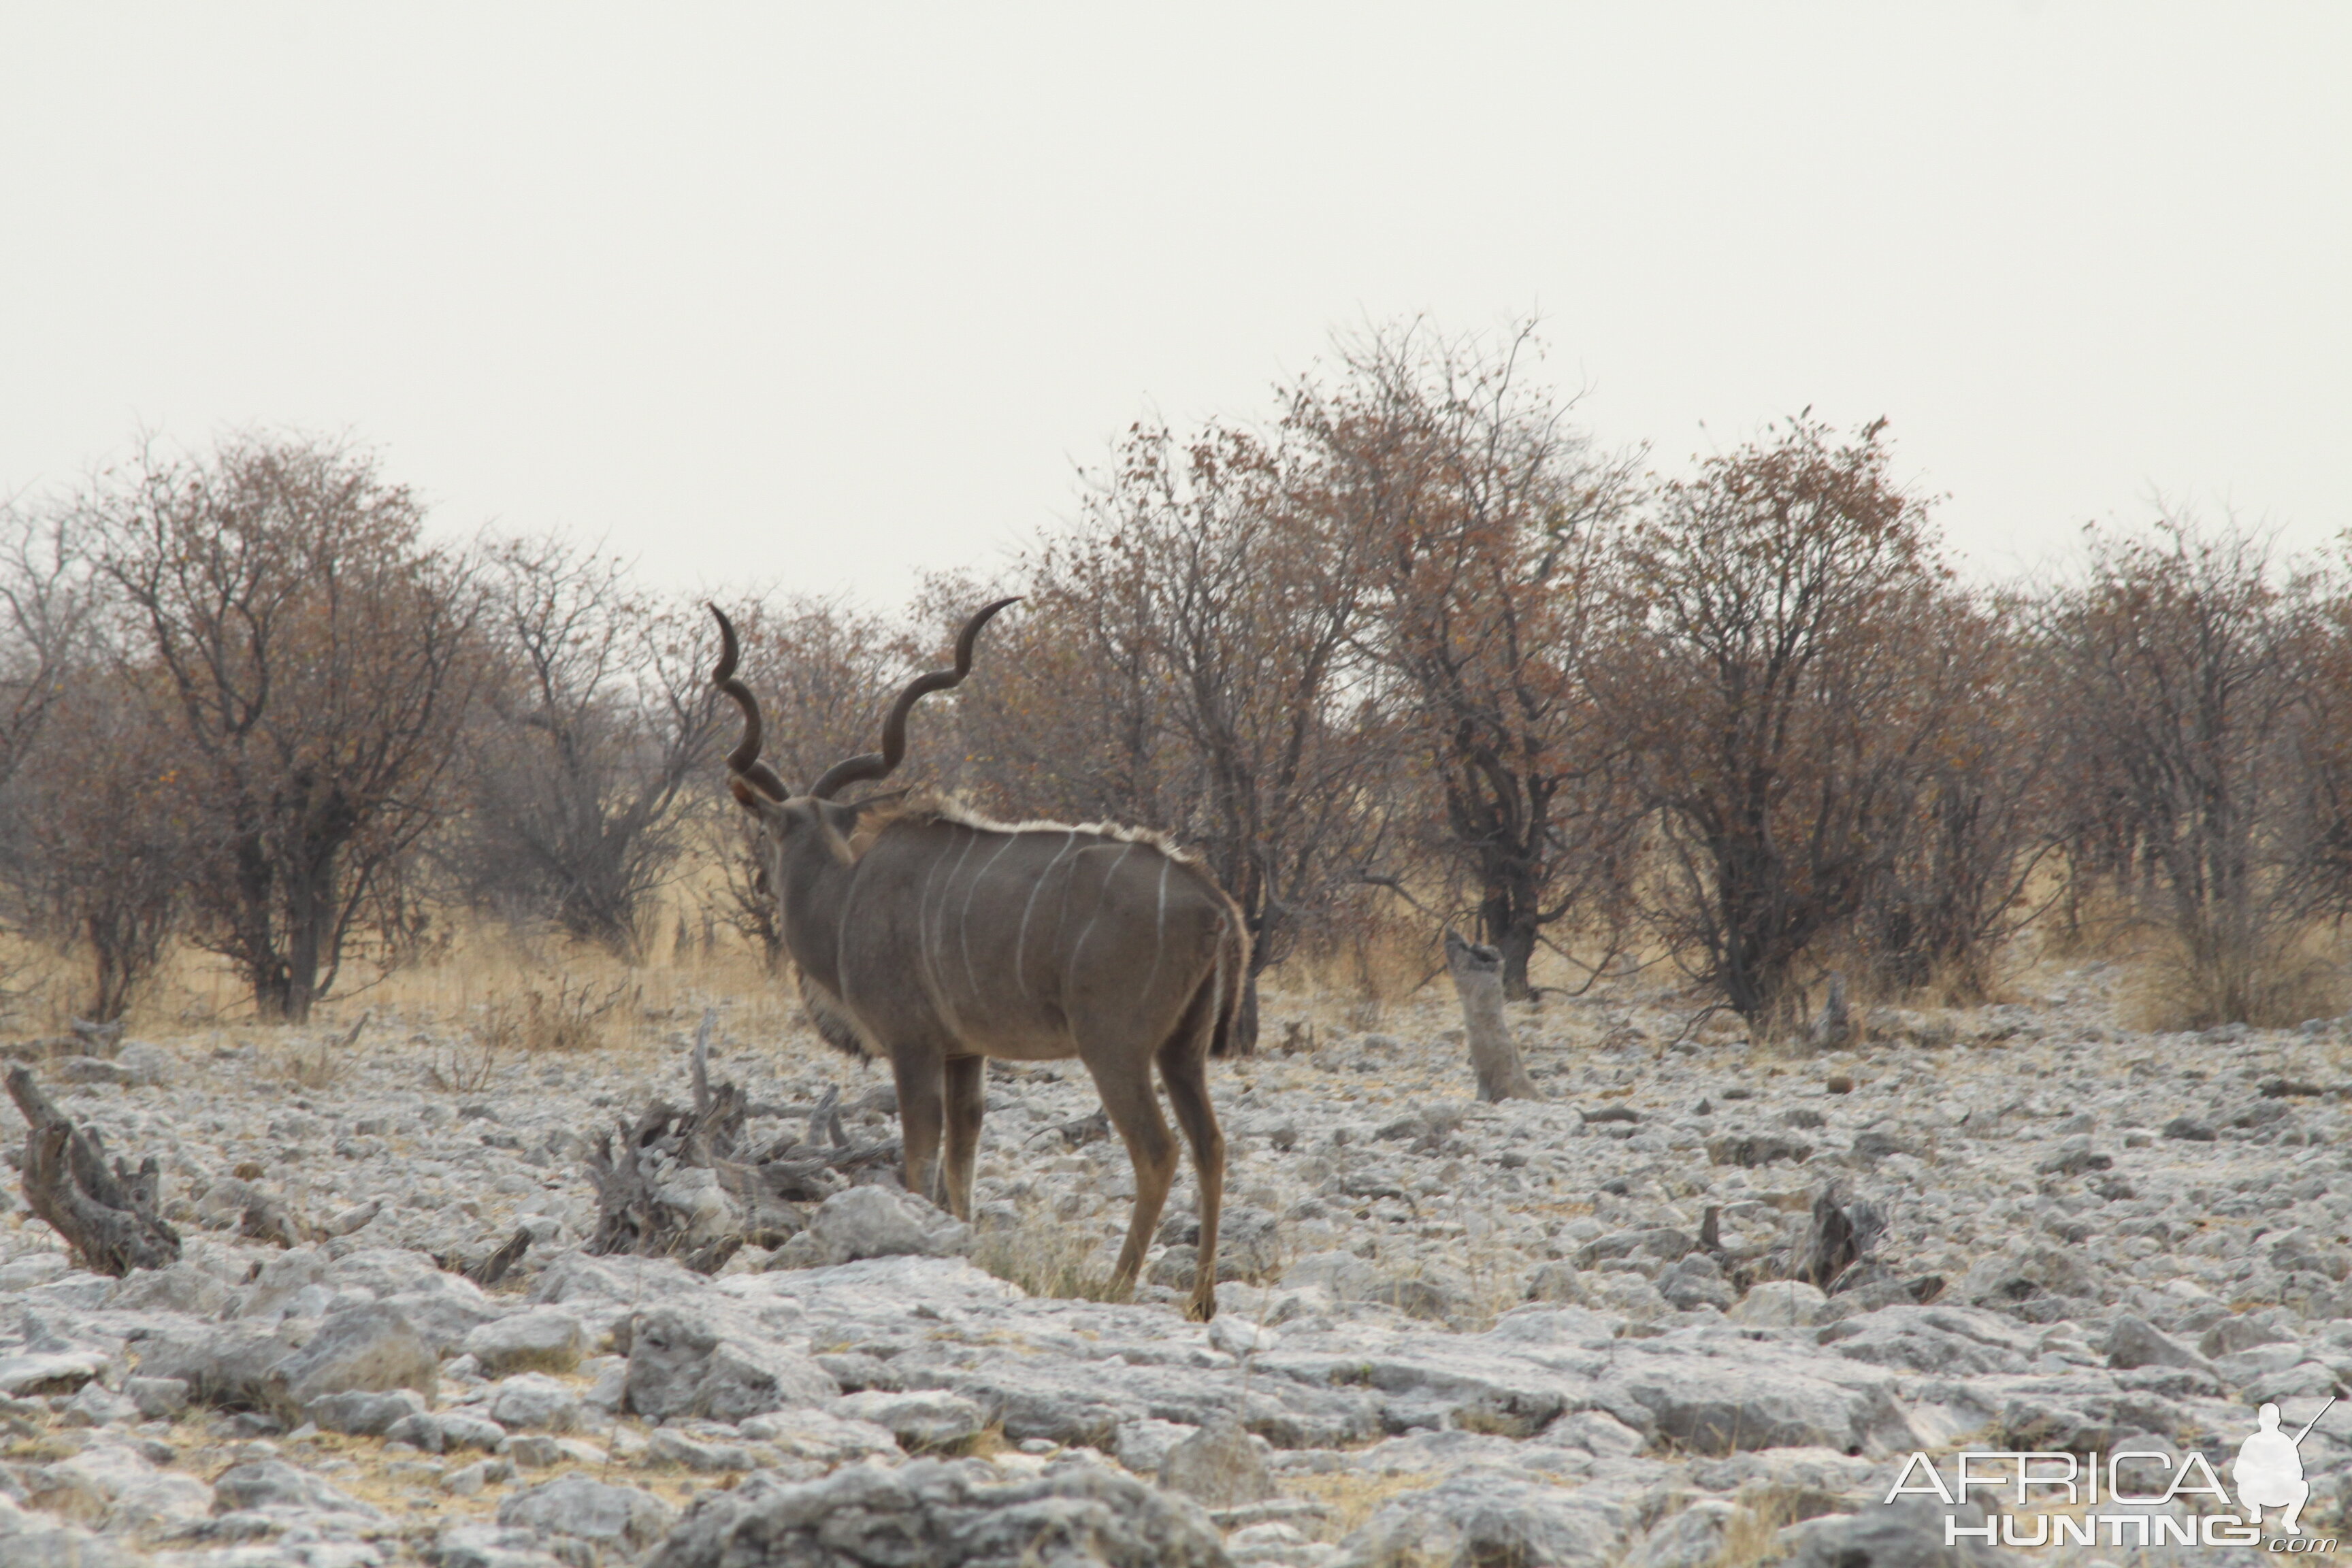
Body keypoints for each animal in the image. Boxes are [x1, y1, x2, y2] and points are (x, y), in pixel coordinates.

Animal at [705, 594, 1251, 1316]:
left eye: (768, 833)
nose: (764, 882)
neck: (845, 885)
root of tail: (1212, 899)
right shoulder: (966, 1054)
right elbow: (963, 1156)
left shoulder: (913, 1047)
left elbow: (920, 1156)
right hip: (1181, 1051)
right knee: (1211, 1145)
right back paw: (1201, 1301)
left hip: (1116, 1048)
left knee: (1158, 1151)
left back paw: (1116, 1283)